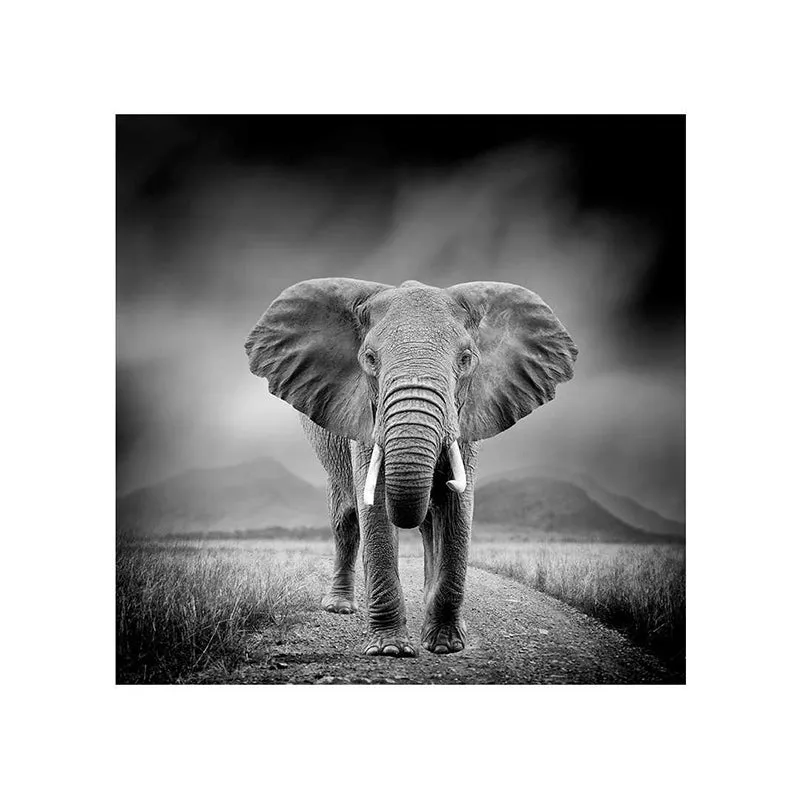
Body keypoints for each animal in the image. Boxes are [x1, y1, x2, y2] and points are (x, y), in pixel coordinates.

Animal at [245, 278, 577, 657]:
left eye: (466, 359)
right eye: (369, 359)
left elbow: (457, 508)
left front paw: (445, 645)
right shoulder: (366, 417)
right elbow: (373, 507)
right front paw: (391, 650)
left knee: (430, 524)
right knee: (346, 519)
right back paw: (339, 607)